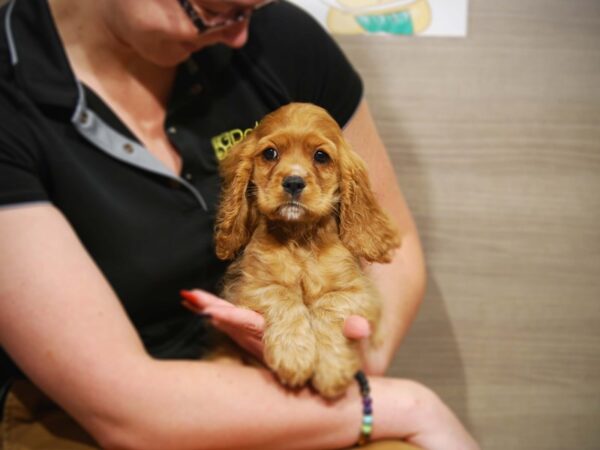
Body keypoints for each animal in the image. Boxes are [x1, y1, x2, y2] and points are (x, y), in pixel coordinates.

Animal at [213, 103, 400, 398]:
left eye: (321, 156)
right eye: (270, 153)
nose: (293, 182)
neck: (299, 237)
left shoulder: (357, 292)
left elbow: (329, 307)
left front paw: (332, 368)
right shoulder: (252, 285)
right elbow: (284, 297)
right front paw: (294, 355)